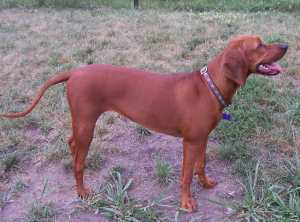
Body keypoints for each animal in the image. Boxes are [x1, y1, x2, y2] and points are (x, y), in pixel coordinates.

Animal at [0, 35, 288, 212]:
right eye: (260, 45)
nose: (285, 45)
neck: (210, 86)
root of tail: (75, 72)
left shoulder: (202, 138)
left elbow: (201, 165)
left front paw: (205, 183)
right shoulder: (190, 142)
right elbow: (185, 175)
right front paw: (186, 202)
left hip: (81, 124)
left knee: (71, 144)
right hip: (87, 125)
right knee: (79, 162)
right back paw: (81, 191)